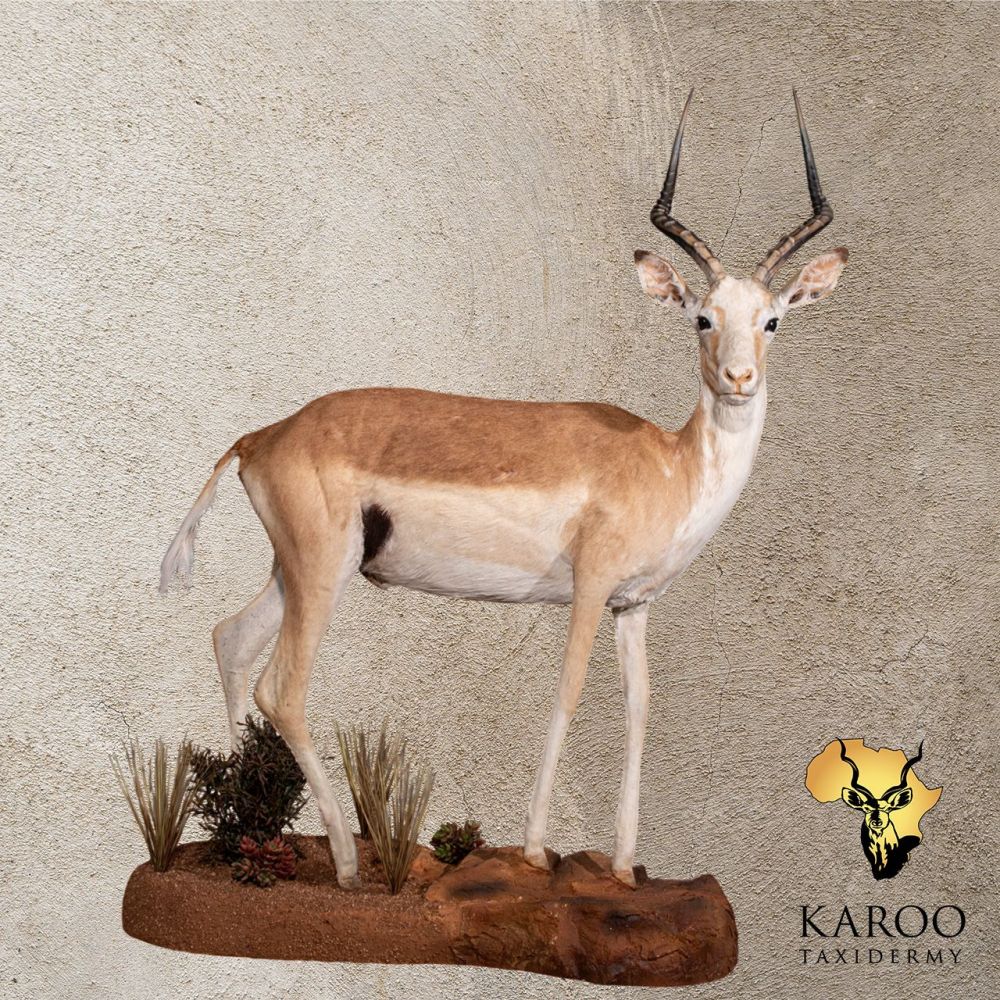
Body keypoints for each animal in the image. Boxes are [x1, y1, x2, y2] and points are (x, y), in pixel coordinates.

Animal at [160, 90, 848, 889]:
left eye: (773, 319)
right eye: (703, 317)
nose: (740, 378)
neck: (669, 465)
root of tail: (262, 436)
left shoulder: (634, 606)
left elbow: (641, 710)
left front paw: (622, 867)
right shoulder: (588, 589)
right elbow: (569, 694)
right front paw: (536, 849)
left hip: (295, 572)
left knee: (230, 639)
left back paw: (252, 839)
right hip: (321, 573)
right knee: (283, 688)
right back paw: (345, 863)